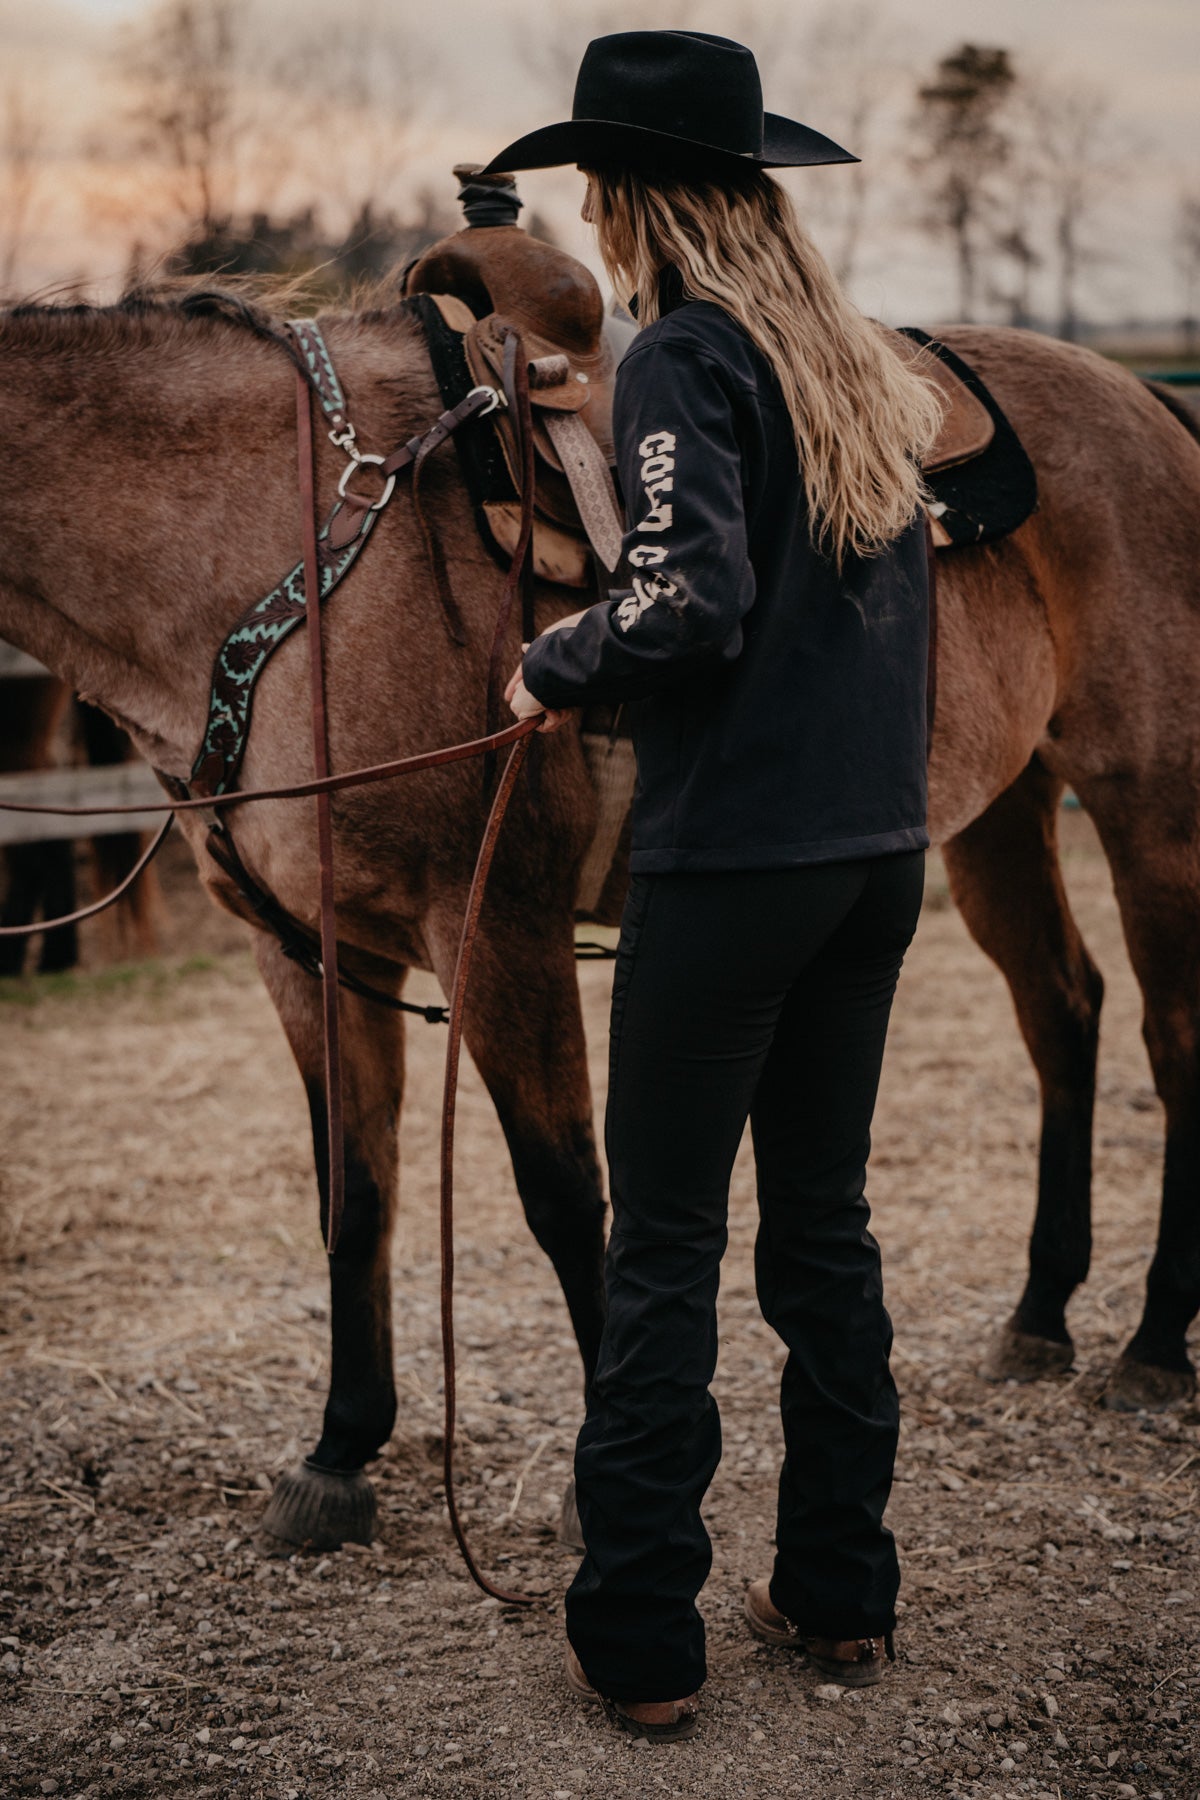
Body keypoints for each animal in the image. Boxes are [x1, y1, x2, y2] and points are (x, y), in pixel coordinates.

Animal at [2, 288, 1200, 1555]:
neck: (295, 548)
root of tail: (1149, 404)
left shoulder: (495, 929)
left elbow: (569, 1198)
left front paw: (605, 1482)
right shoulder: (307, 955)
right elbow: (356, 1193)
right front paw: (340, 1450)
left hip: (1150, 805)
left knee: (1172, 1043)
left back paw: (1153, 1339)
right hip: (1000, 814)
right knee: (1064, 1011)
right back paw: (1041, 1312)